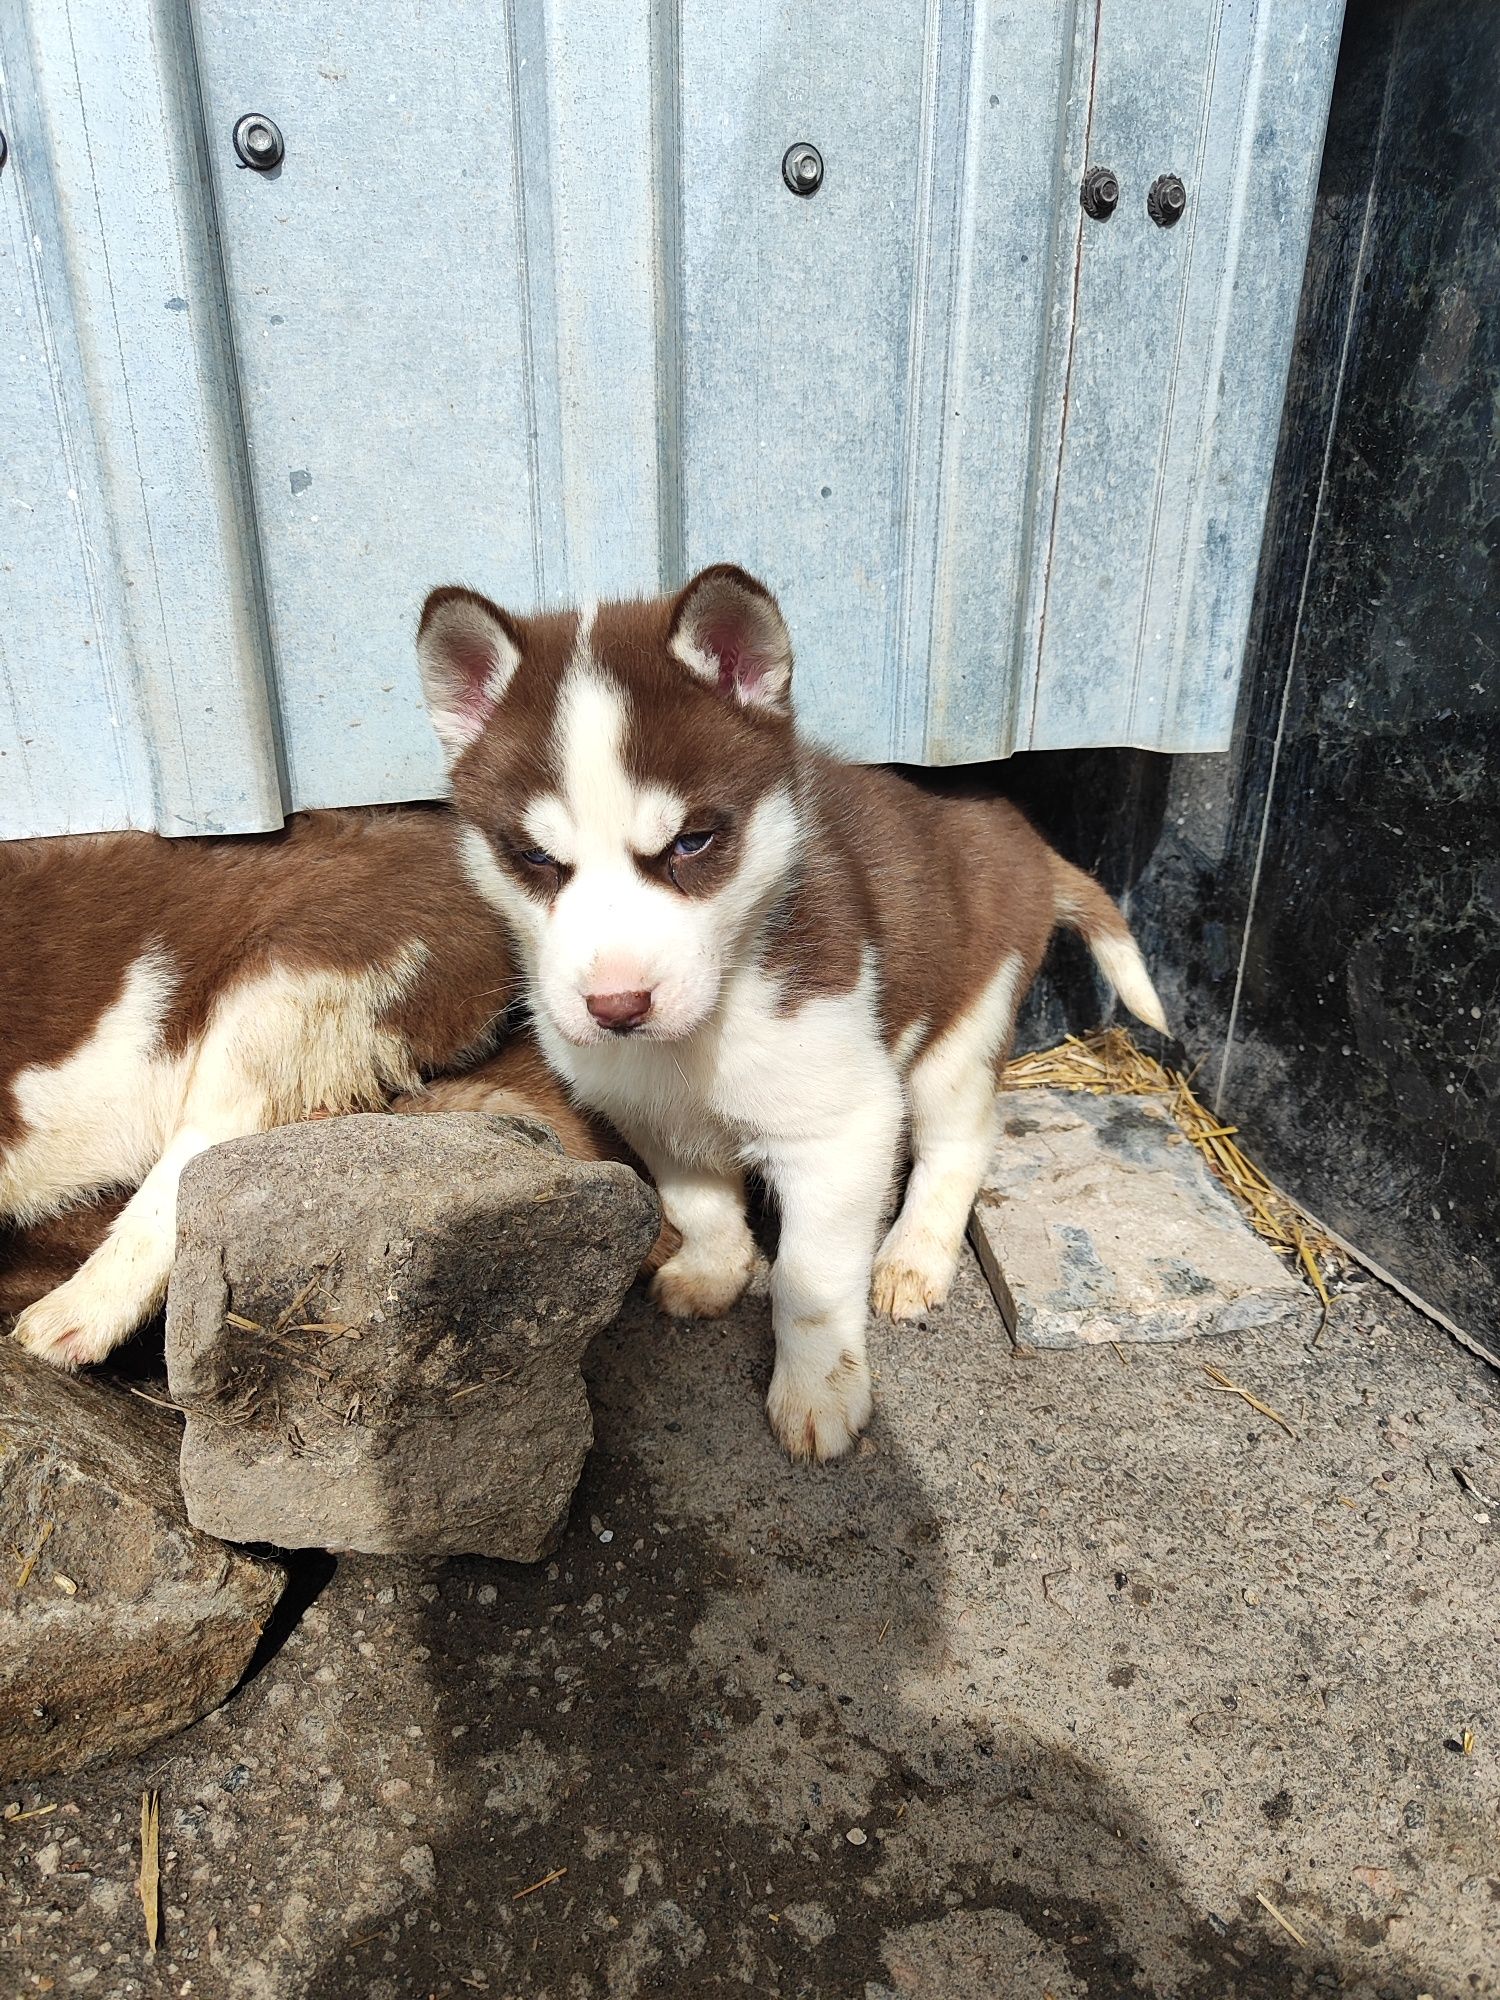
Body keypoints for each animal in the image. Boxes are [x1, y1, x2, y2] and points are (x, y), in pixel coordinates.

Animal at [420, 568, 1176, 1472]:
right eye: (536, 859)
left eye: (692, 843)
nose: (616, 1006)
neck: (706, 1028)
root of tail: (1013, 827)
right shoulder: (646, 1111)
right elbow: (697, 1201)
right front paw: (715, 1268)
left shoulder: (840, 1130)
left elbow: (808, 1280)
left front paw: (818, 1390)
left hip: (963, 1024)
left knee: (962, 1141)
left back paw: (915, 1255)